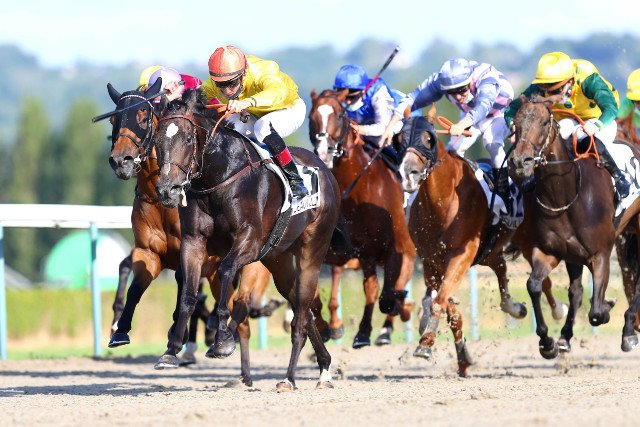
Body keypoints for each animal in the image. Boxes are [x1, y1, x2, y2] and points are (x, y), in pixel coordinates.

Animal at [104, 80, 273, 383]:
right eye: (114, 119)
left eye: (143, 117)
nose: (121, 161)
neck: (159, 199)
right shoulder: (149, 252)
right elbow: (135, 285)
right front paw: (119, 330)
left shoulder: (198, 255)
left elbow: (187, 289)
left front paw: (179, 338)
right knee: (238, 317)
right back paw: (241, 372)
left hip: (252, 270)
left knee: (243, 311)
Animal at [153, 88, 340, 391]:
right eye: (157, 139)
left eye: (189, 138)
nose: (167, 190)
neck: (219, 179)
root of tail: (325, 171)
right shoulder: (193, 242)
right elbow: (188, 294)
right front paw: (171, 350)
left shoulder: (249, 242)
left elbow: (227, 271)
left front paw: (222, 341)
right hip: (279, 261)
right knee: (303, 308)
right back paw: (324, 367)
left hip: (312, 251)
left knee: (300, 315)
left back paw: (289, 378)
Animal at [308, 89, 416, 348]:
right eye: (311, 116)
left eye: (340, 115)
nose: (324, 151)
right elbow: (314, 295)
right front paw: (326, 328)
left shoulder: (396, 249)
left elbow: (388, 295)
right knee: (372, 286)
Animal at [510, 95, 640, 354]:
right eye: (516, 125)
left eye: (543, 122)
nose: (520, 162)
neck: (564, 196)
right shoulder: (550, 252)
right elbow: (534, 285)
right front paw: (547, 341)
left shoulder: (600, 254)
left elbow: (597, 312)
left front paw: (608, 306)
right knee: (576, 291)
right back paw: (565, 337)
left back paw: (629, 331)